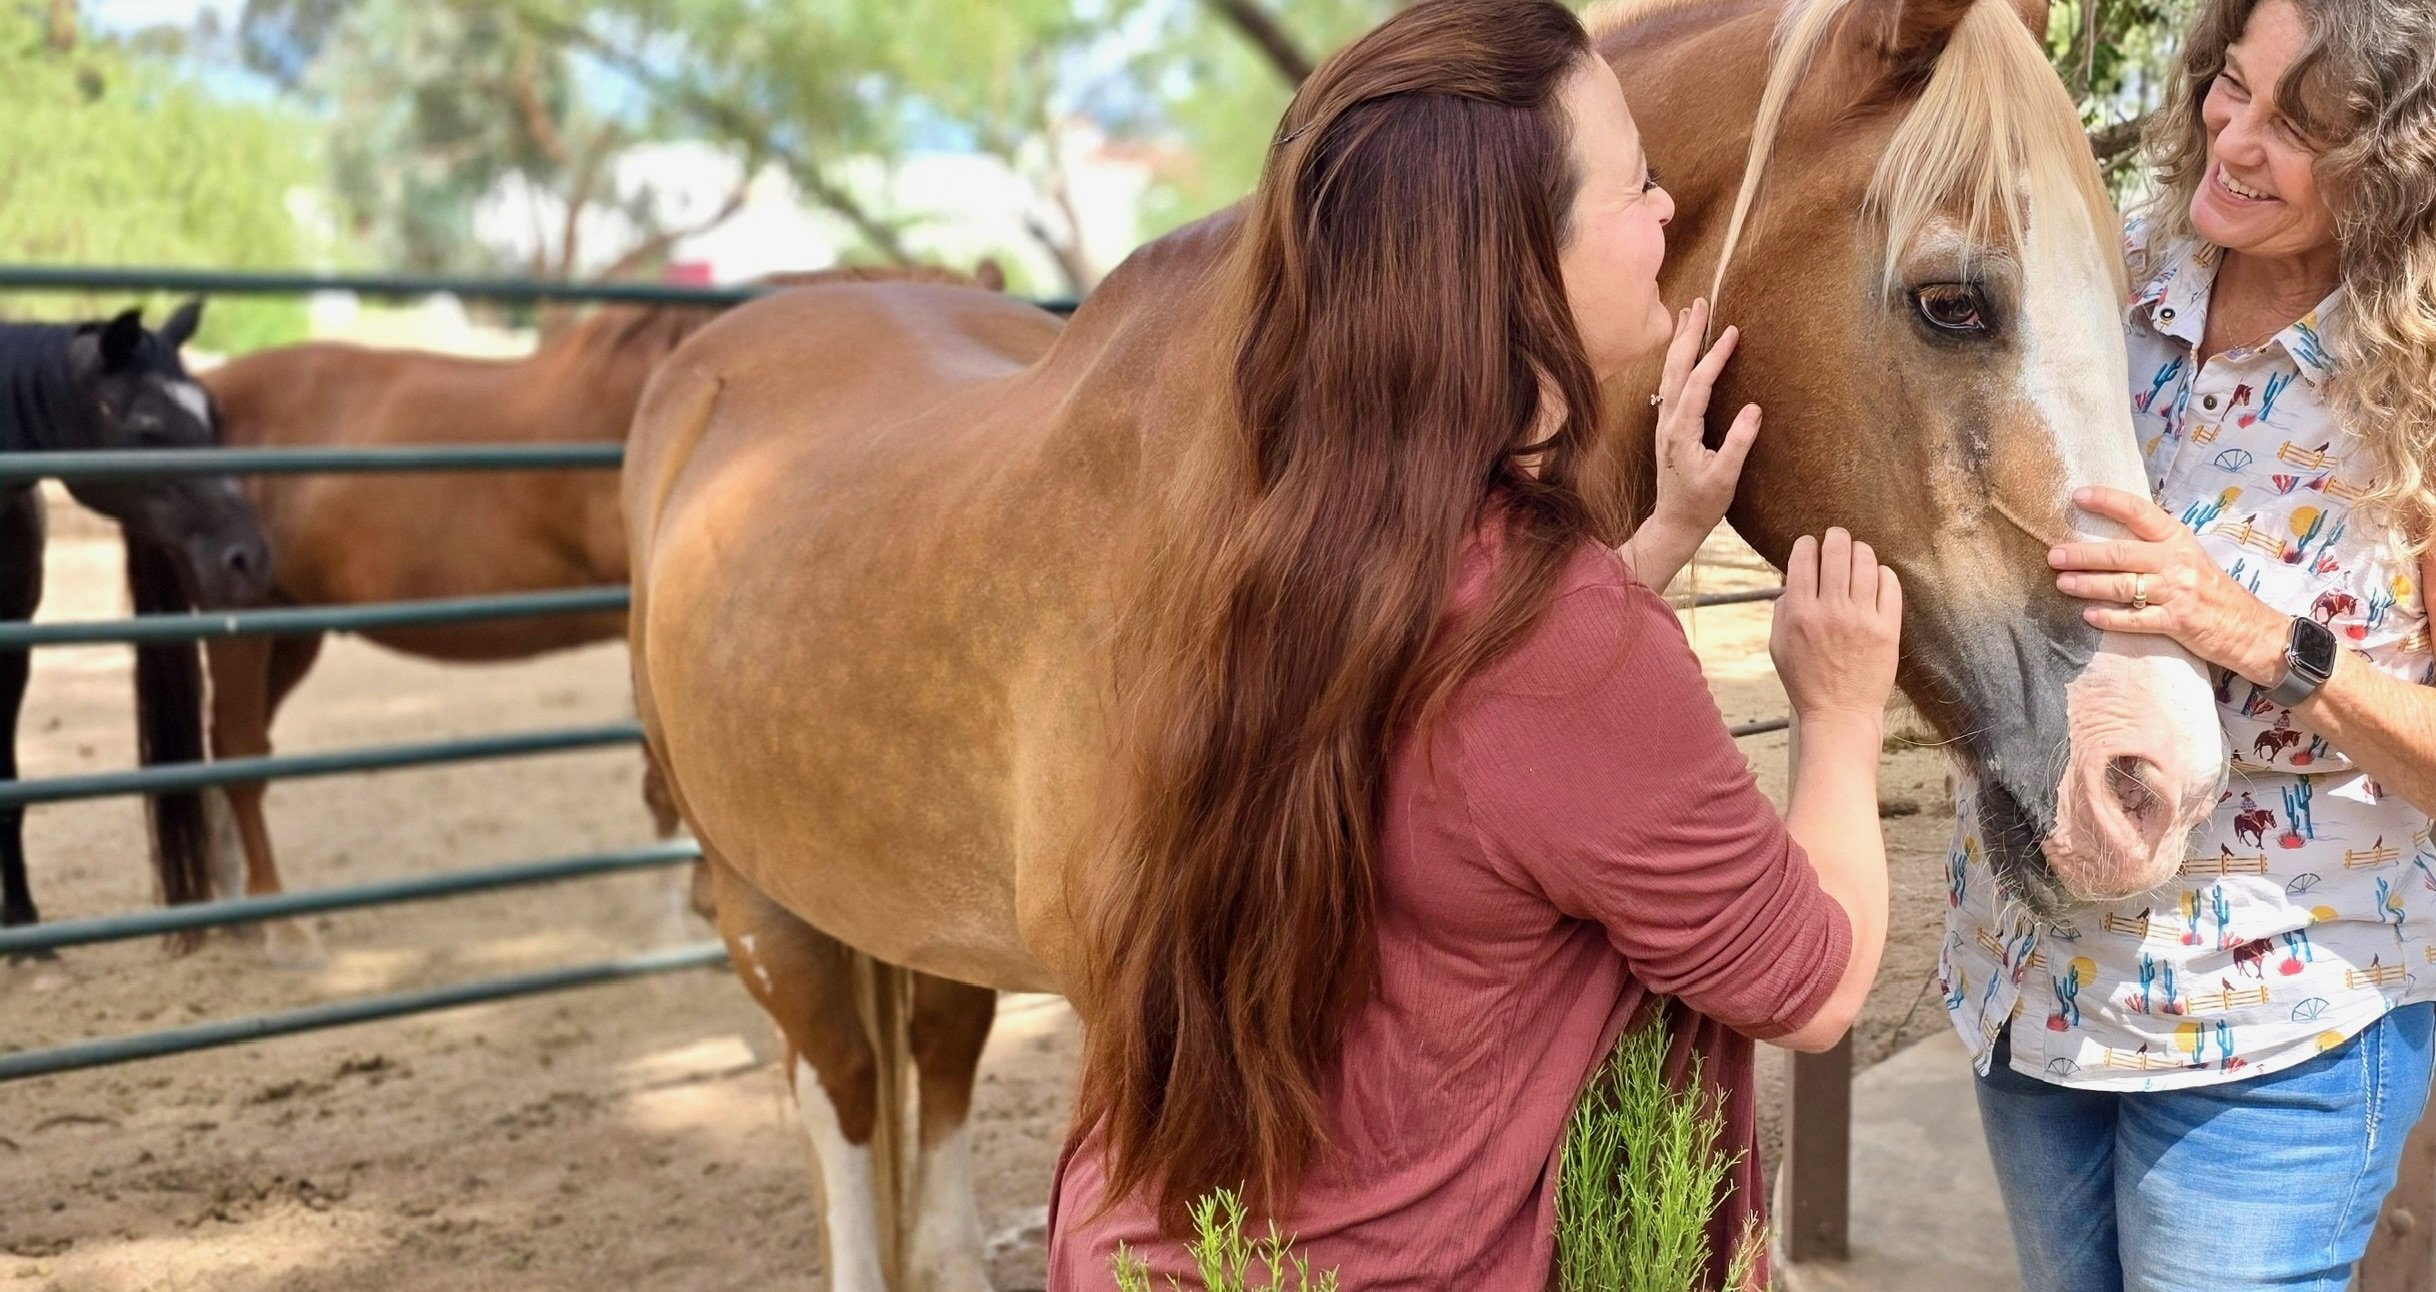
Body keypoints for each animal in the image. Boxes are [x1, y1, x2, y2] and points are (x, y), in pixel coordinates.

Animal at [191, 266, 996, 959]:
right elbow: (663, 788)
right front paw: (681, 919)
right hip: (242, 614)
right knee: (240, 751)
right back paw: (279, 922)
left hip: (290, 630)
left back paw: (233, 904)